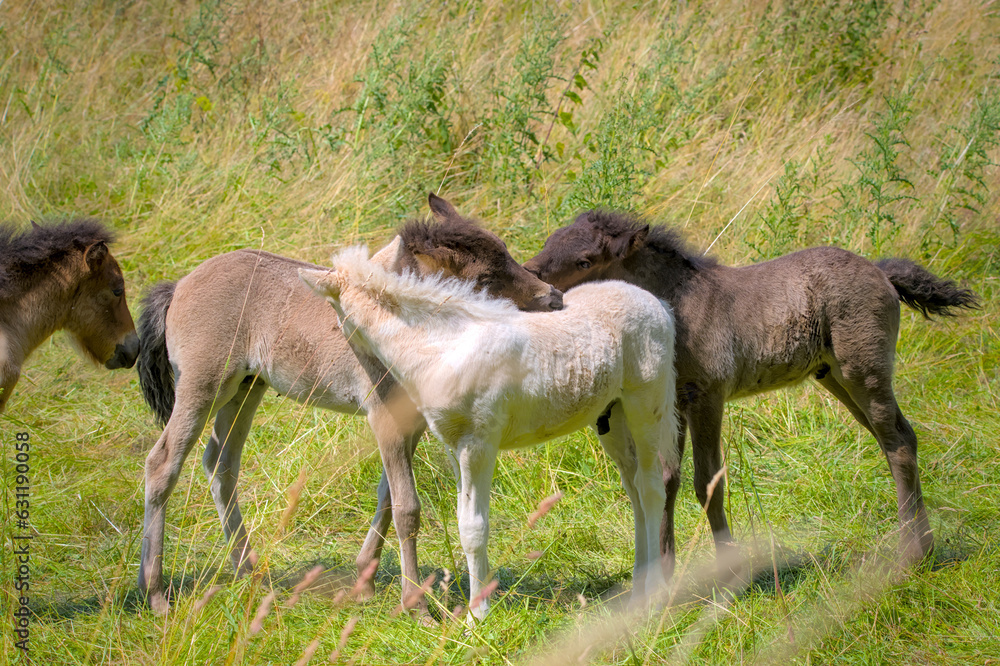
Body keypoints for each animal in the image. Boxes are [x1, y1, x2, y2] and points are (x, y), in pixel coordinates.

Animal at [134, 194, 563, 616]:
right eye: (485, 280)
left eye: (505, 250)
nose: (554, 298)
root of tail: (179, 285)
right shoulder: (385, 417)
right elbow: (407, 507)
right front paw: (416, 606)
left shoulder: (412, 422)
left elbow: (387, 497)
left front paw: (365, 583)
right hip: (203, 385)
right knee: (163, 463)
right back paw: (155, 594)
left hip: (246, 388)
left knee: (221, 464)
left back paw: (249, 572)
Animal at [301, 246, 679, 620]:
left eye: (334, 312)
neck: (443, 346)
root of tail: (657, 303)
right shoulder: (454, 446)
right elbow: (462, 519)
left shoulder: (478, 444)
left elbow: (474, 527)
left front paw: (476, 617)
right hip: (612, 417)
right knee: (633, 489)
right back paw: (636, 591)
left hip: (645, 406)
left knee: (651, 488)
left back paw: (654, 594)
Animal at [523, 210, 980, 574]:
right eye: (549, 241)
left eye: (584, 259)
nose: (531, 278)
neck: (678, 308)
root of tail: (880, 270)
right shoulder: (673, 404)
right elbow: (667, 478)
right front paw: (664, 572)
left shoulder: (706, 396)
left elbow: (708, 481)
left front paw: (727, 569)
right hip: (834, 375)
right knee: (893, 440)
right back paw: (919, 546)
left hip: (863, 368)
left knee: (899, 440)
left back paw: (913, 554)